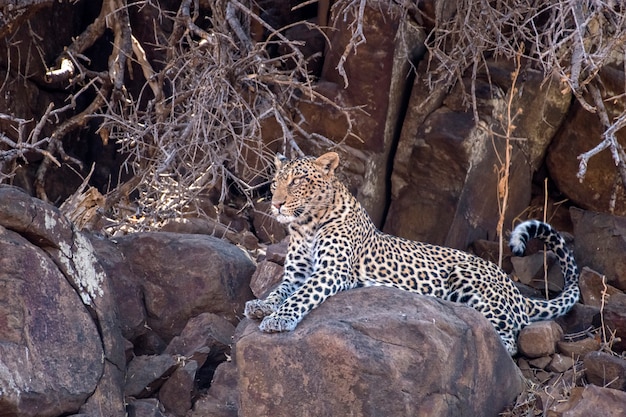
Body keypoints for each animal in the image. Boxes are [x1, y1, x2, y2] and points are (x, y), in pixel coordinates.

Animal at [245, 151, 580, 352]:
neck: (306, 224)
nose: (275, 203)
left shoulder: (332, 270)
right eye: (275, 183)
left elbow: (300, 297)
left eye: (296, 181)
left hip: (471, 282)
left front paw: (277, 320)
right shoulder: (297, 273)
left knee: (509, 341)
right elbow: (279, 290)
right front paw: (261, 305)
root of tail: (516, 290)